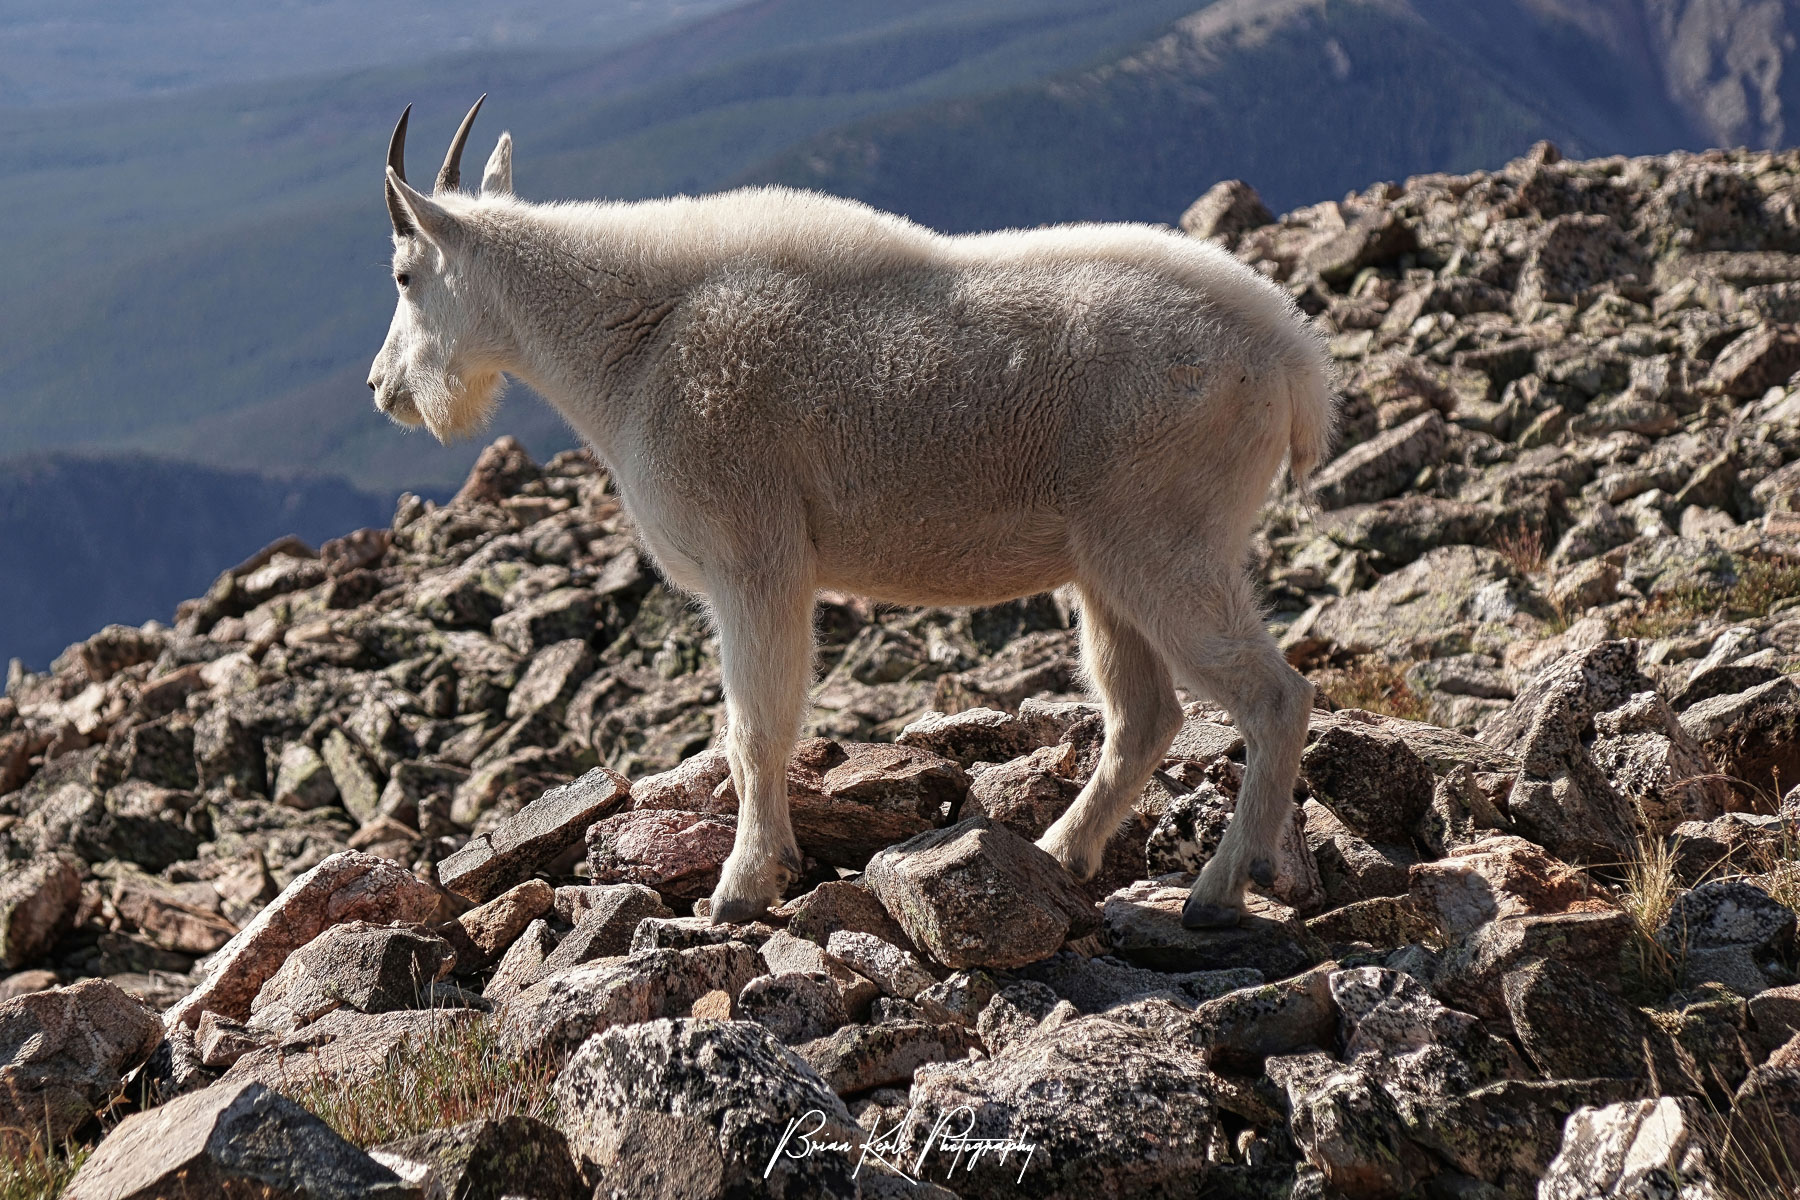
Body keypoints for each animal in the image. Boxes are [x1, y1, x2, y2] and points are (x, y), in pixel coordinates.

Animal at [365, 103, 1339, 928]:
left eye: (405, 275)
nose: (382, 390)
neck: (633, 346)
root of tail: (1291, 356)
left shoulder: (754, 562)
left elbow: (755, 732)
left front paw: (742, 887)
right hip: (1106, 565)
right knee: (1143, 716)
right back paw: (1064, 851)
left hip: (1165, 540)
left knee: (1273, 697)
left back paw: (1219, 889)